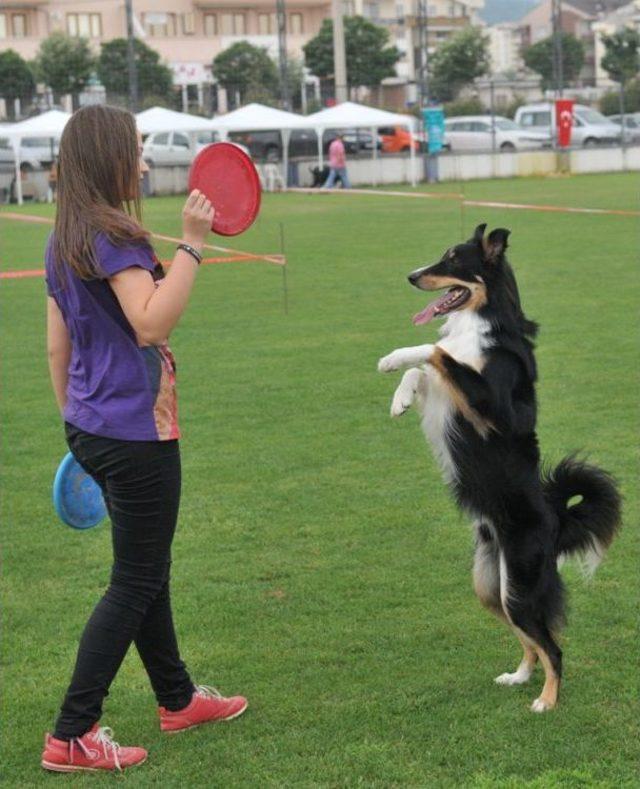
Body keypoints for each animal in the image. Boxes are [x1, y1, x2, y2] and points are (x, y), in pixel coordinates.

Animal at [380, 223, 620, 716]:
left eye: (454, 259)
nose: (412, 276)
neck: (480, 321)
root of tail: (557, 518)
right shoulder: (448, 395)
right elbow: (428, 368)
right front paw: (400, 397)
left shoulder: (493, 408)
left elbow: (435, 351)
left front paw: (393, 357)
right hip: (491, 585)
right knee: (530, 641)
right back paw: (520, 676)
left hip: (521, 584)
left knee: (553, 646)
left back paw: (546, 700)